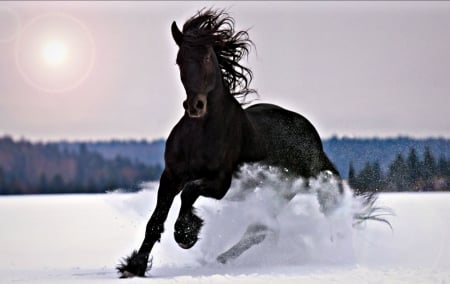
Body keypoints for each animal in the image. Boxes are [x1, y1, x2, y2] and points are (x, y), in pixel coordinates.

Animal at [118, 8, 342, 278]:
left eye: (206, 57)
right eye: (179, 60)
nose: (195, 106)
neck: (201, 134)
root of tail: (313, 140)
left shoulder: (220, 182)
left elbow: (189, 192)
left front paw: (186, 234)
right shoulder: (171, 175)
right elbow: (155, 220)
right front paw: (134, 266)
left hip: (281, 191)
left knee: (260, 228)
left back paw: (219, 258)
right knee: (261, 228)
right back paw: (221, 259)